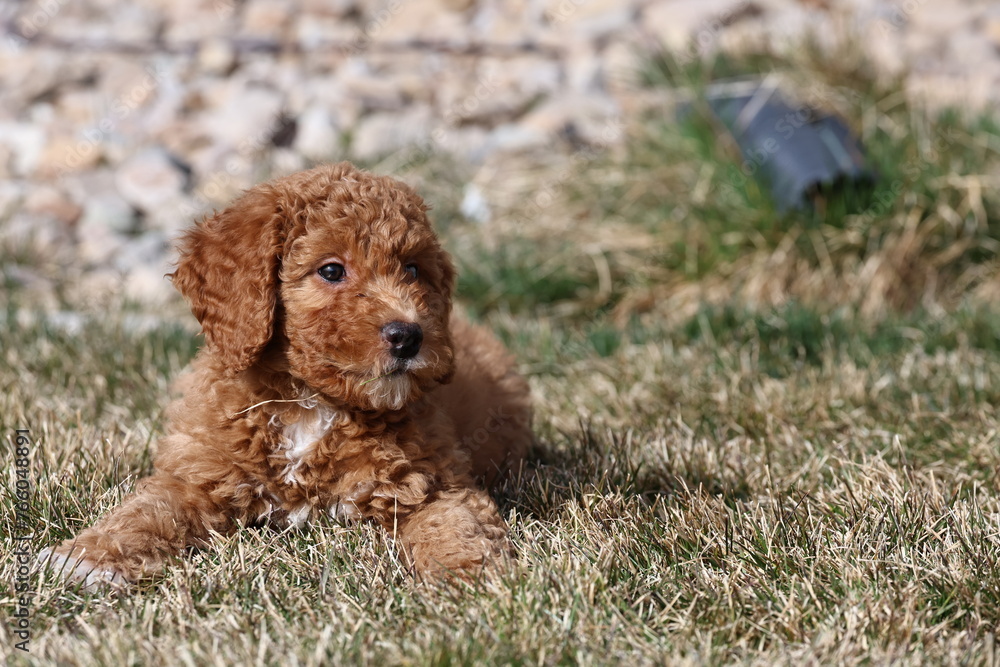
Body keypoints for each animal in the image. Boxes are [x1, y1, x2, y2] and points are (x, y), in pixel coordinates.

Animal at [41, 162, 532, 588]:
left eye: (413, 269)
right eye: (331, 270)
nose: (408, 335)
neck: (308, 400)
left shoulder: (431, 482)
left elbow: (456, 524)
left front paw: (473, 577)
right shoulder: (198, 474)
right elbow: (147, 511)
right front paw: (86, 557)